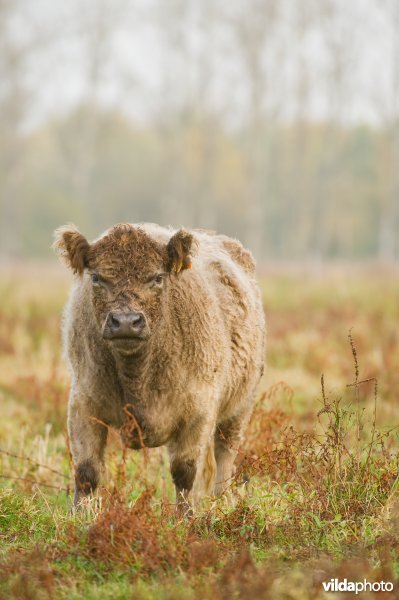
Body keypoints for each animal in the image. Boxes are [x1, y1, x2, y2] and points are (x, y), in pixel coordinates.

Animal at [53, 223, 266, 512]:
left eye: (156, 278)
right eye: (96, 278)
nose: (126, 322)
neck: (137, 377)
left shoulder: (198, 413)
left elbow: (184, 472)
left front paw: (185, 516)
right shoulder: (83, 404)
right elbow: (87, 471)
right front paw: (78, 515)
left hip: (239, 410)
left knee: (225, 457)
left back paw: (223, 503)